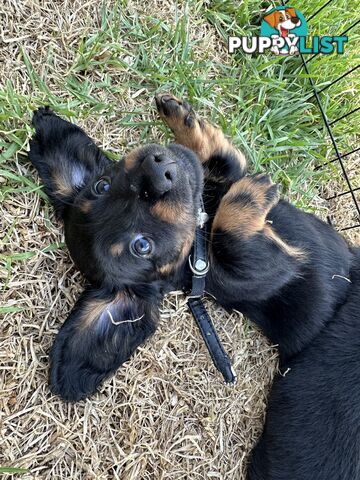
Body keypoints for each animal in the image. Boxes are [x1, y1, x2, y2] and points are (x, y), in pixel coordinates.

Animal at [28, 95, 360, 478]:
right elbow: (231, 236)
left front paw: (179, 115)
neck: (197, 239)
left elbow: (216, 157)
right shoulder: (259, 268)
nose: (156, 169)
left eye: (102, 186)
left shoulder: (218, 176)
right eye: (141, 246)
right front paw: (252, 194)